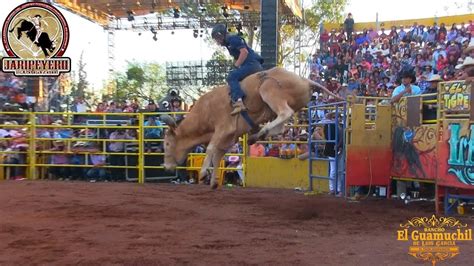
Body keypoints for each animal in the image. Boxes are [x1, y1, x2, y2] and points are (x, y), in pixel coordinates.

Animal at [163, 67, 340, 188]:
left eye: (167, 143)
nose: (166, 167)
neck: (206, 111)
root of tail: (305, 80)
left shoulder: (223, 129)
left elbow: (211, 149)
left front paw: (202, 173)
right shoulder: (229, 137)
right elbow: (218, 155)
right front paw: (213, 181)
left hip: (268, 89)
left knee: (285, 112)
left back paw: (262, 131)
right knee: (280, 126)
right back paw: (258, 134)